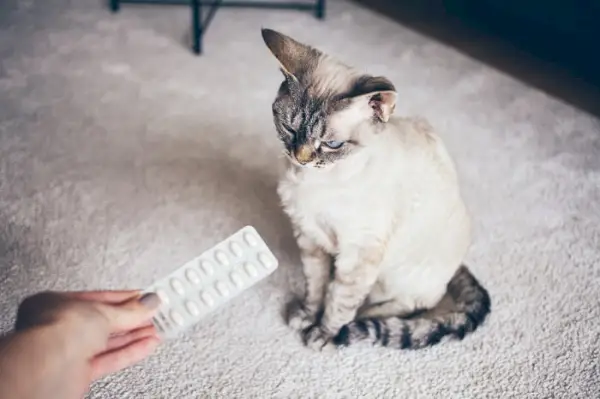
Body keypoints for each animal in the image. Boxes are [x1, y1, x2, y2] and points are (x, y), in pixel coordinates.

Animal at [260, 29, 490, 352]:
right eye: (289, 129)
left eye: (332, 144)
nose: (301, 157)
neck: (313, 181)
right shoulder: (309, 237)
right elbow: (315, 285)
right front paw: (306, 315)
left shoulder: (358, 254)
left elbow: (339, 302)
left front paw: (324, 334)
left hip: (392, 277)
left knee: (410, 306)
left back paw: (362, 318)